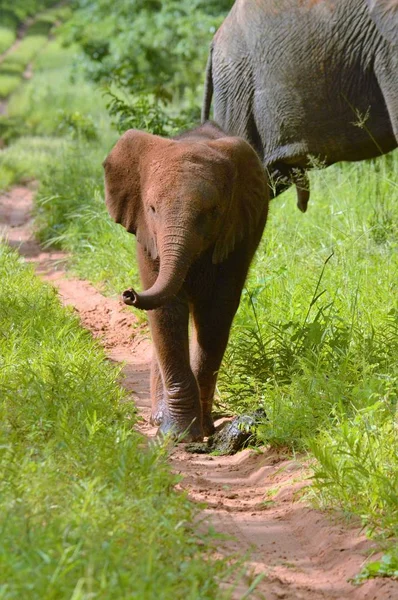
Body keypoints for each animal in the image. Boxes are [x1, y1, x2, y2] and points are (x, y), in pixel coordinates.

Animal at [104, 122, 268, 440]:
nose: (129, 294)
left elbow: (216, 314)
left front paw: (200, 430)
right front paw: (176, 435)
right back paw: (157, 418)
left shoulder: (239, 235)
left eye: (213, 212)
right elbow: (166, 313)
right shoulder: (148, 238)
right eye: (152, 209)